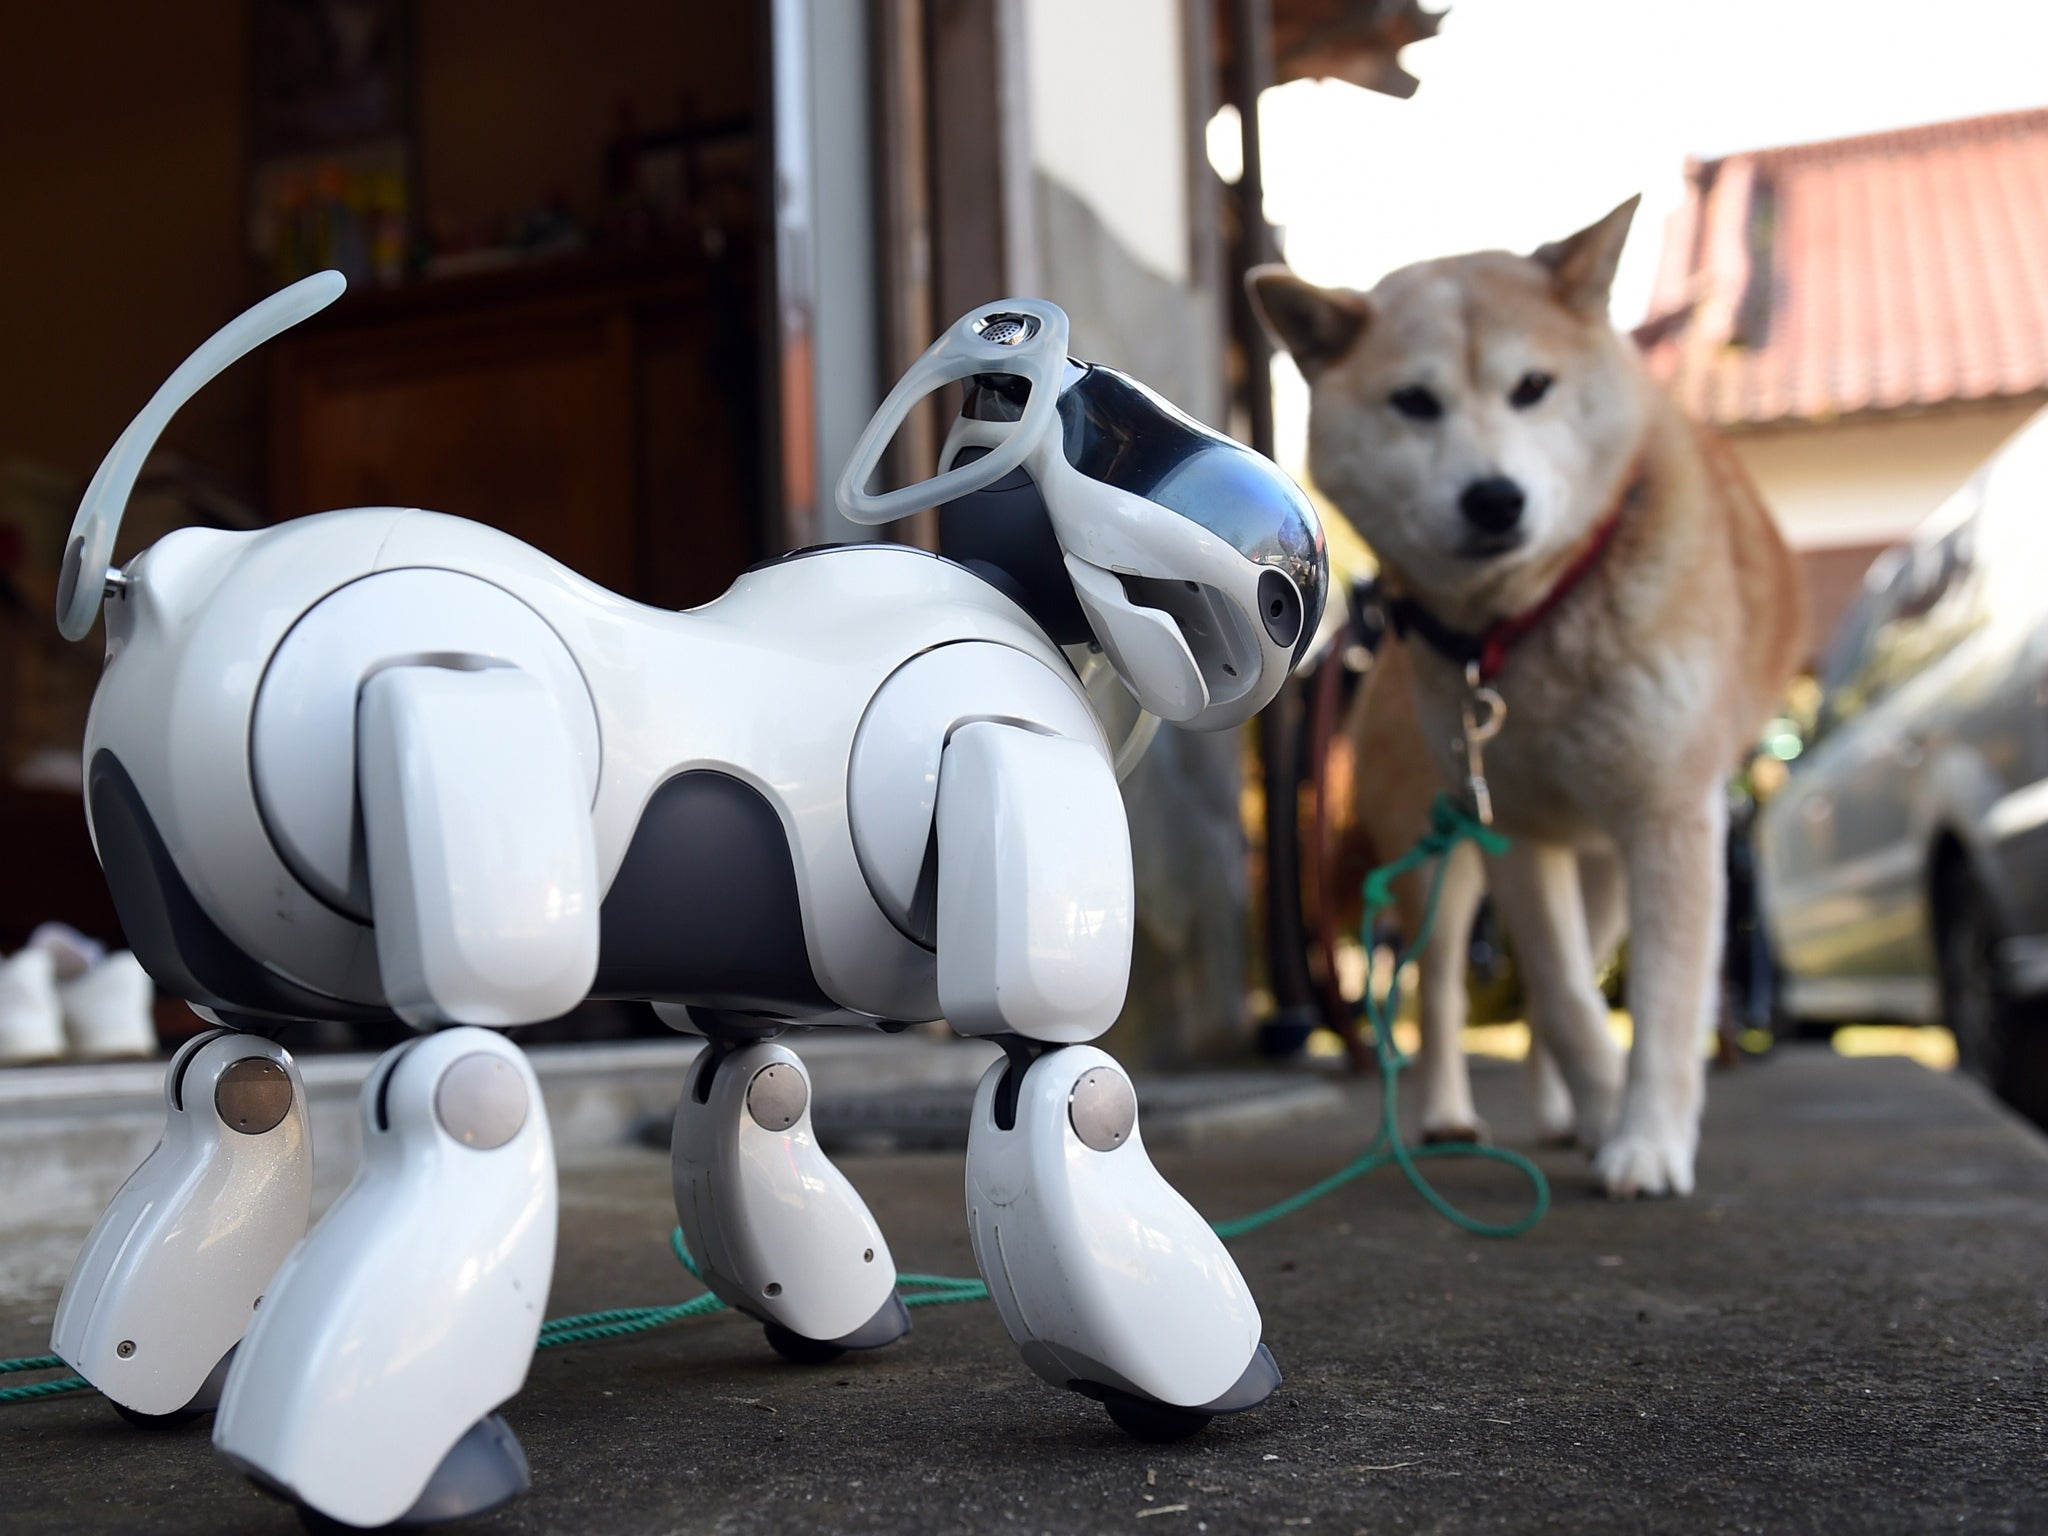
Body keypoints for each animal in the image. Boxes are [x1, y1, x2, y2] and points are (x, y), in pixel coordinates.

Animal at [51, 274, 1327, 1531]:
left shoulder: (736, 1005)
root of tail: (158, 590)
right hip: (456, 745)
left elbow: (755, 1097)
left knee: (235, 1086)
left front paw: (823, 1301)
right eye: (1121, 429)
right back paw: (411, 1468)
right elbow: (1065, 1083)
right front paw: (1191, 1377)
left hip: (228, 965)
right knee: (465, 1090)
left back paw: (133, 1366)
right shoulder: (1003, 749)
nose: (1295, 585)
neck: (1010, 599)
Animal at [1253, 198, 1802, 1196]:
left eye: (1534, 387)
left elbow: (1655, 1004)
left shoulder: (1668, 817)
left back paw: (1562, 1114)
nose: (1494, 499)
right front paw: (1611, 1113)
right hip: (1438, 859)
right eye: (1414, 402)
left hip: (1606, 861)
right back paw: (1448, 1114)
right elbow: (1568, 1000)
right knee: (1440, 992)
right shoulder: (1510, 828)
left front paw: (1642, 1138)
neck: (1529, 624)